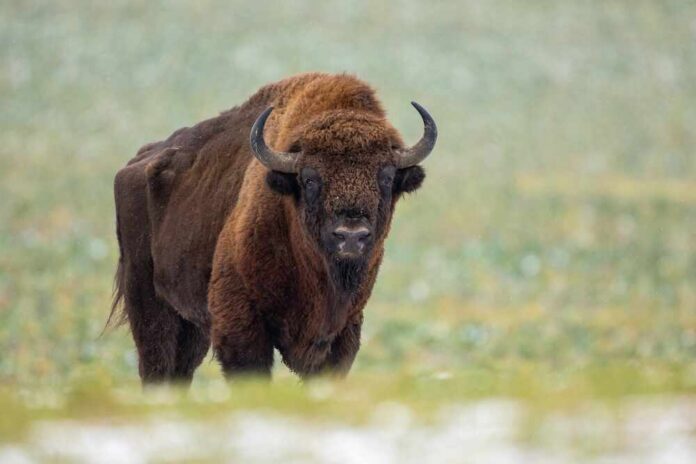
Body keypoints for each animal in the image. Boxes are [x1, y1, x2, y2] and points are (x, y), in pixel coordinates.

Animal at [109, 73, 437, 383]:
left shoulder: (342, 332)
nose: (351, 236)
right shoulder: (240, 323)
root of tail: (136, 163)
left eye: (386, 177)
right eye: (309, 178)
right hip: (150, 306)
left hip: (190, 324)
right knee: (156, 366)